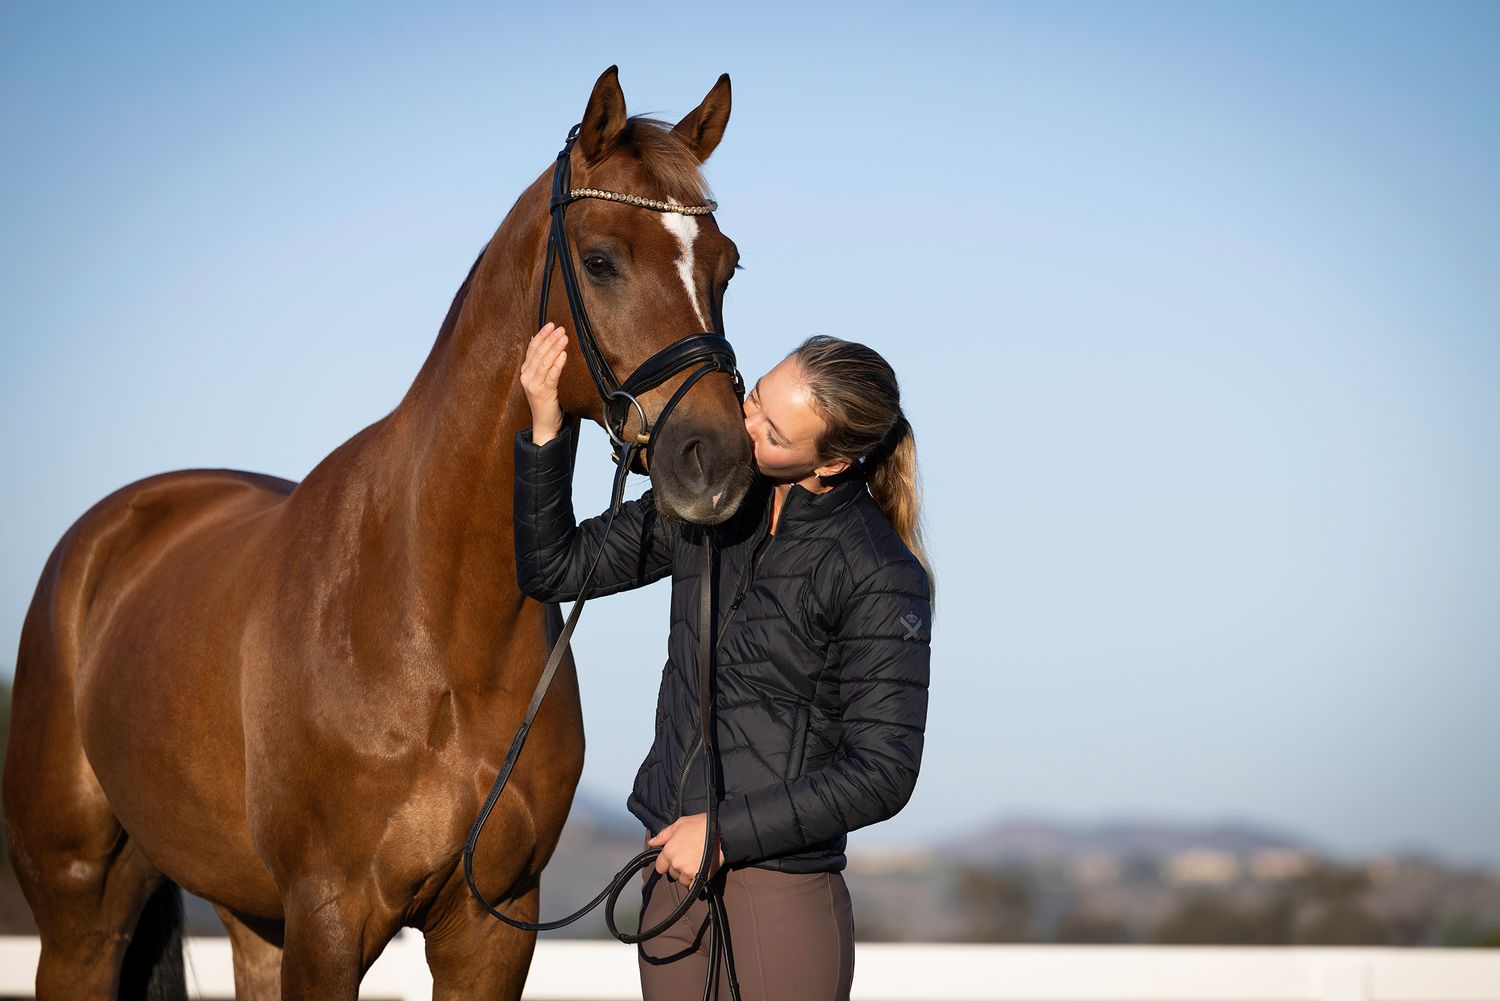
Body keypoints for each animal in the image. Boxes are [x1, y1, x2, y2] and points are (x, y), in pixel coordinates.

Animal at [3, 65, 753, 1000]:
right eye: (601, 259)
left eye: (726, 265)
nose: (717, 460)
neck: (429, 619)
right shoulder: (331, 918)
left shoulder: (489, 927)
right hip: (81, 911)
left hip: (248, 914)